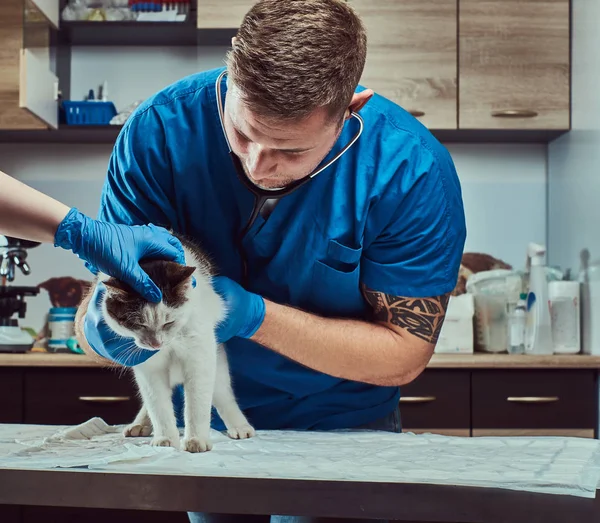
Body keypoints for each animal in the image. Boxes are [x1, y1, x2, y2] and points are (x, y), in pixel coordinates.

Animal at [84, 235, 253, 452]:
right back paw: (140, 424)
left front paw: (196, 439)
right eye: (138, 323)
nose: (156, 344)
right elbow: (158, 405)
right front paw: (165, 438)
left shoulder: (199, 354)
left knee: (223, 395)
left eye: (169, 322)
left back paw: (240, 426)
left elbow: (197, 403)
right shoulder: (149, 367)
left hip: (217, 365)